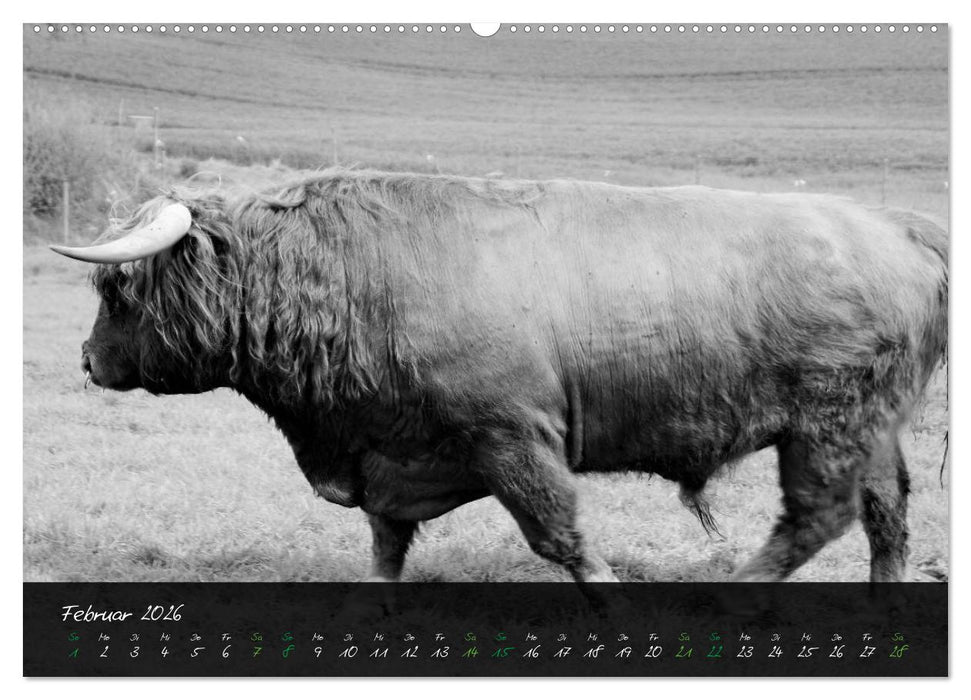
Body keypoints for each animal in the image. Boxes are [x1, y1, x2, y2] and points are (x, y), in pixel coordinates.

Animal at [51, 169, 948, 585]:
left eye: (116, 289)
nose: (88, 359)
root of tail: (894, 225)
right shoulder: (392, 456)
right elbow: (386, 544)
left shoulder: (512, 441)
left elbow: (561, 538)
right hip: (868, 431)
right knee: (886, 514)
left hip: (824, 428)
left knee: (818, 517)